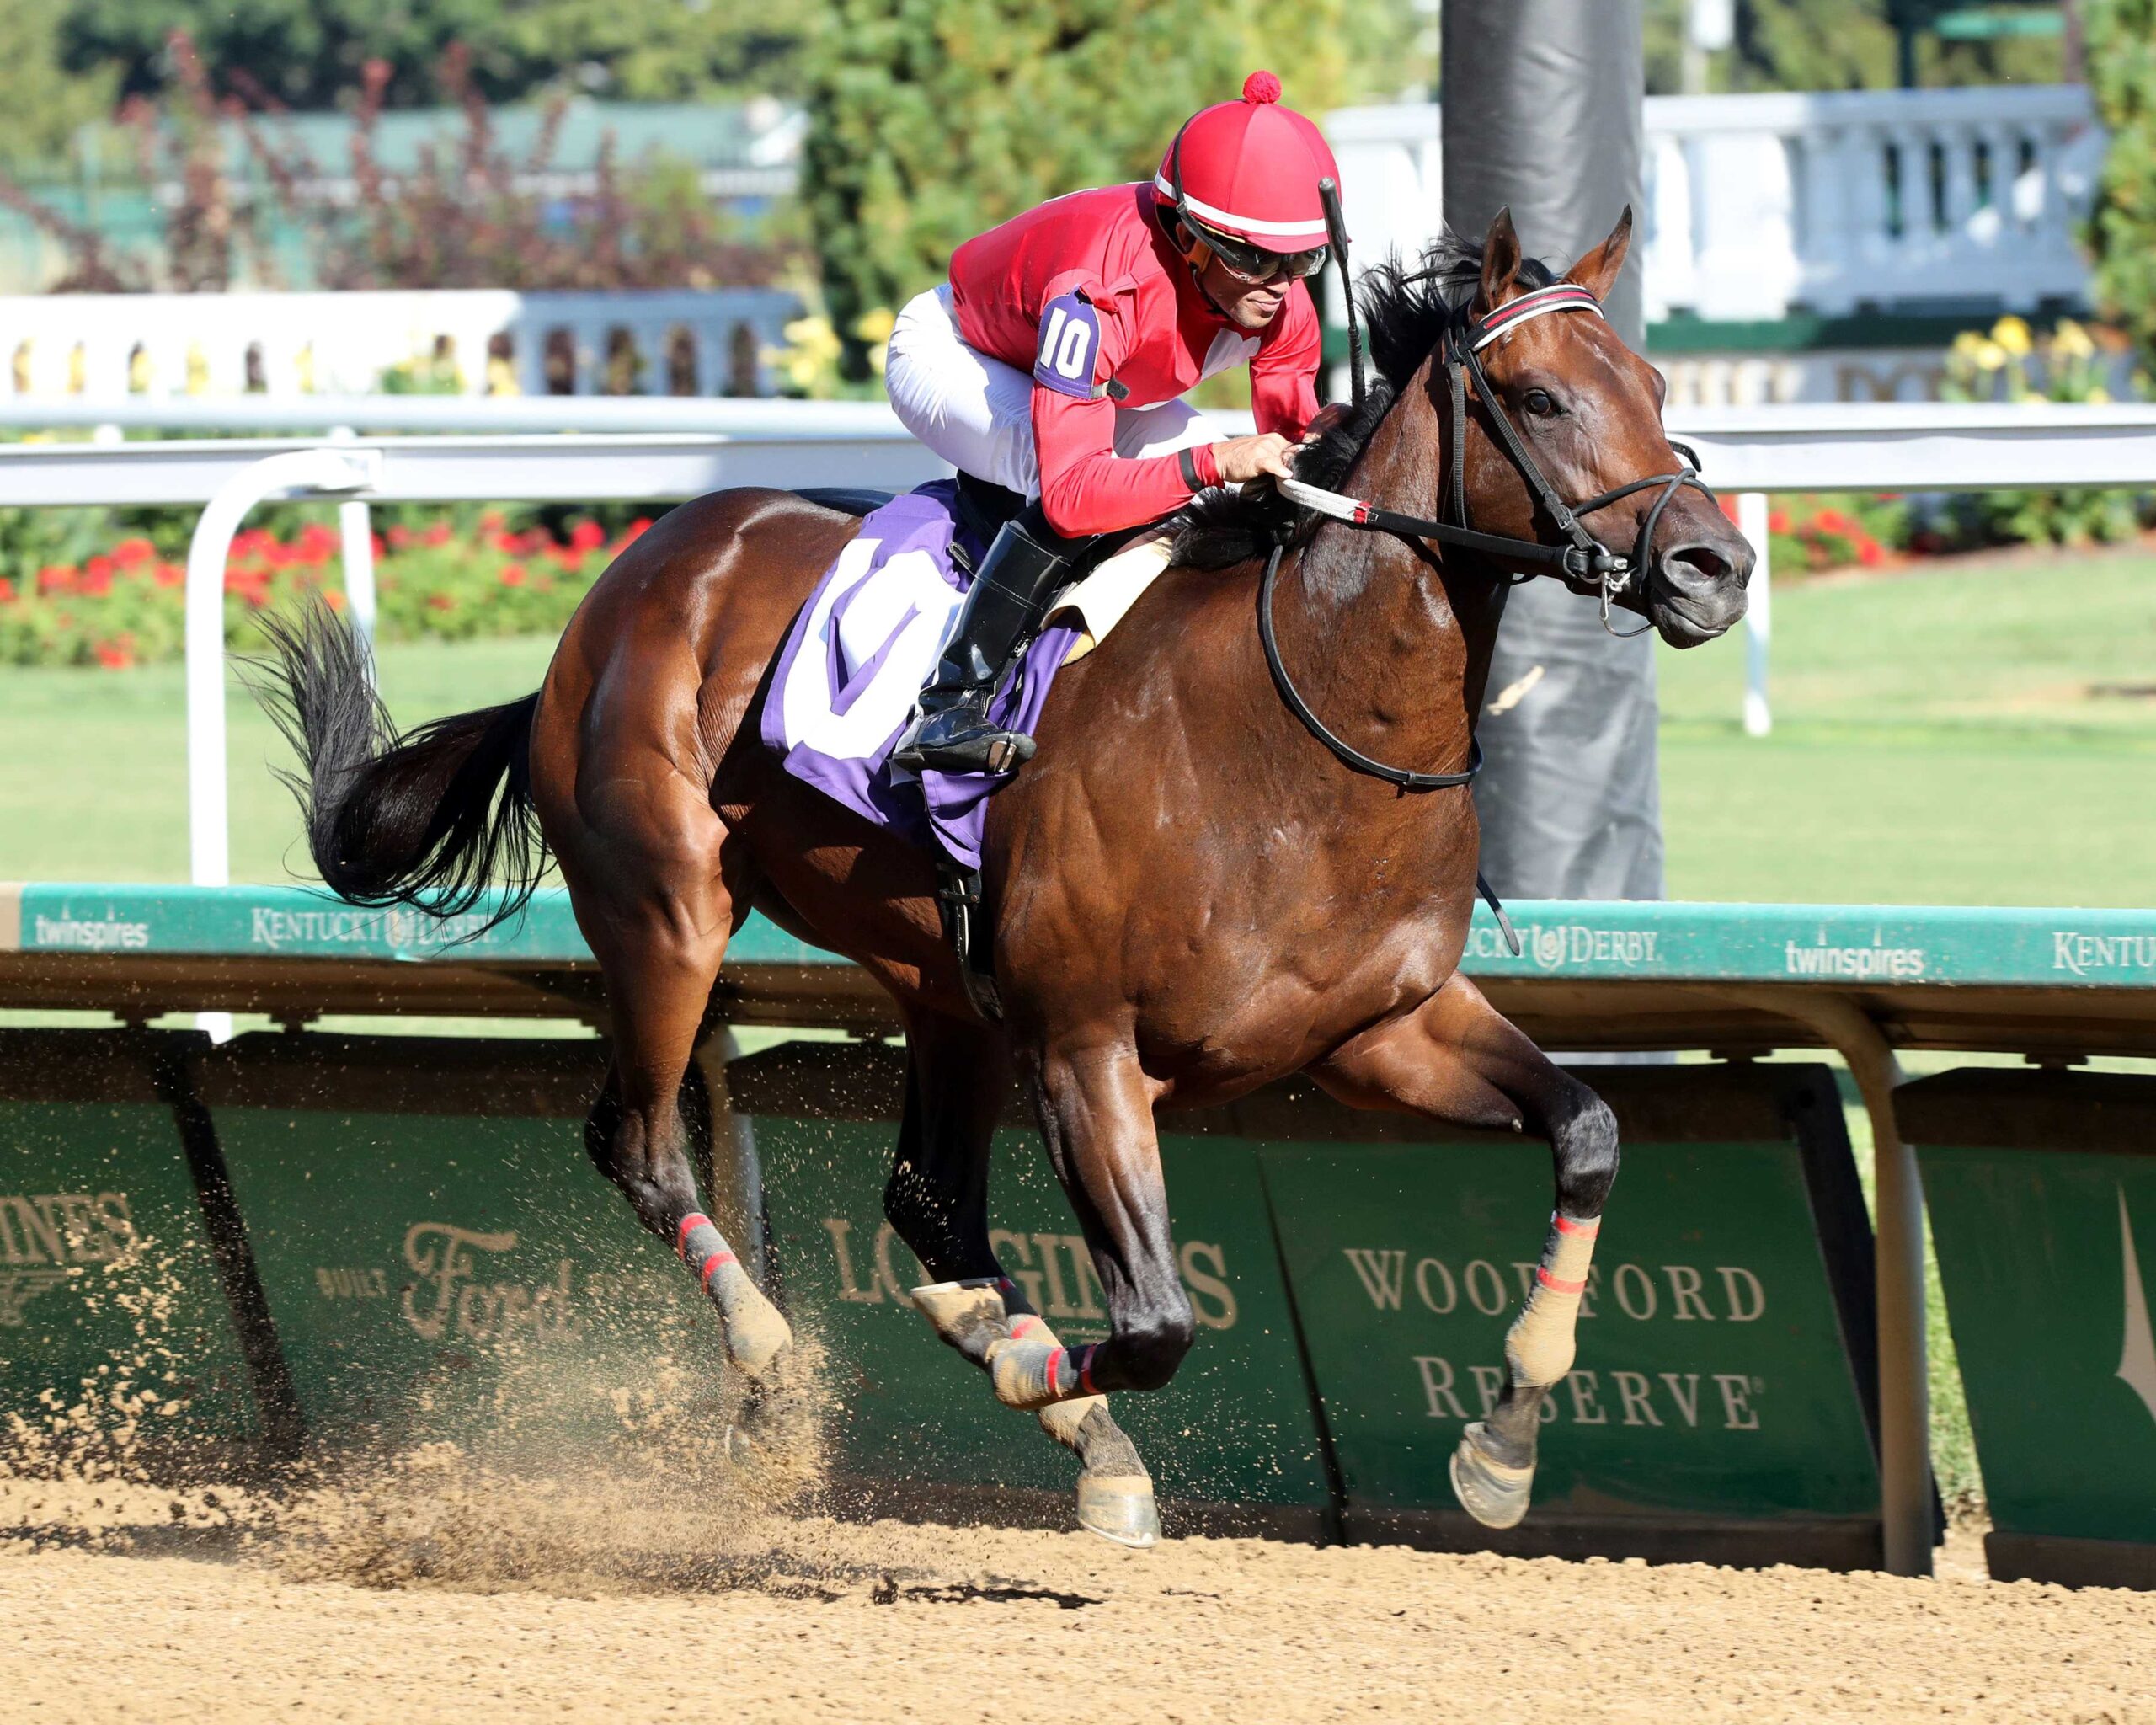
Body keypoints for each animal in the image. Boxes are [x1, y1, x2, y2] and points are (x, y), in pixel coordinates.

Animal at [257, 209, 1752, 1548]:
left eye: (1655, 385)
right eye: (1542, 396)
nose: (1715, 566)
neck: (1305, 727)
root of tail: (620, 590)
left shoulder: (1377, 1029)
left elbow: (1589, 1133)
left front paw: (1502, 1446)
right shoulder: (1087, 1046)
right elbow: (1154, 1323)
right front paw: (1044, 1372)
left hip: (945, 991)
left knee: (925, 1201)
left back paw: (1023, 1380)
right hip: (667, 914)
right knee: (641, 1143)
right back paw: (777, 1369)